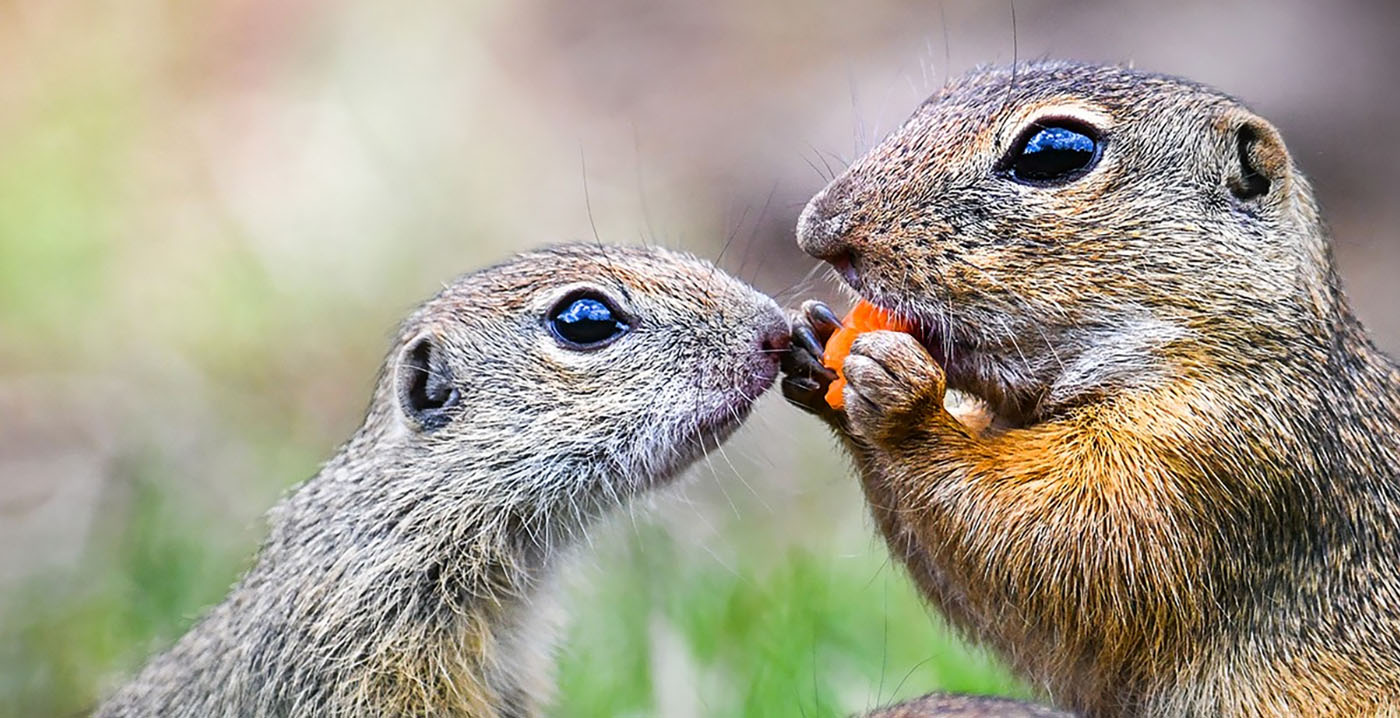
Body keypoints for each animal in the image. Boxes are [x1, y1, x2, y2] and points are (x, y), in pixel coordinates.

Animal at [784, 58, 1400, 713]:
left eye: (1055, 152)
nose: (817, 231)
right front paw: (816, 344)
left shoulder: (1212, 460)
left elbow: (1068, 546)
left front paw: (903, 398)